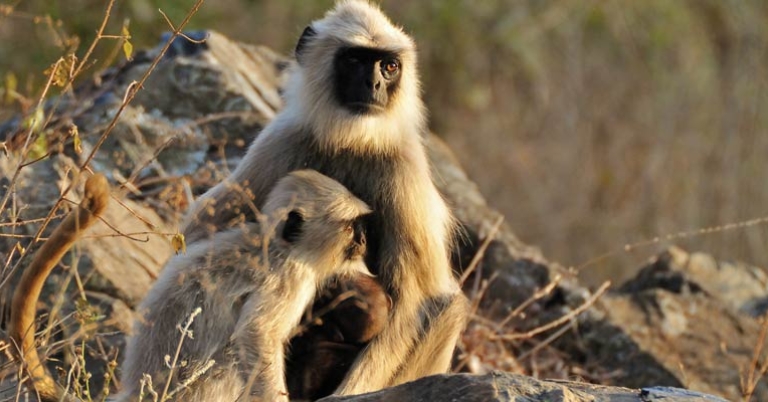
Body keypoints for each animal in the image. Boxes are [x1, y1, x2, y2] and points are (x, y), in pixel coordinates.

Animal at [114, 169, 373, 402]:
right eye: (350, 227)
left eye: (358, 226)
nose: (363, 240)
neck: (278, 246)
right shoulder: (292, 274)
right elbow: (257, 332)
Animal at [182, 0, 470, 396]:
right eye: (355, 60)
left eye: (389, 66)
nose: (374, 83)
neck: (353, 141)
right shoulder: (284, 139)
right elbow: (201, 233)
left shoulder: (404, 172)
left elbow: (416, 302)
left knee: (447, 307)